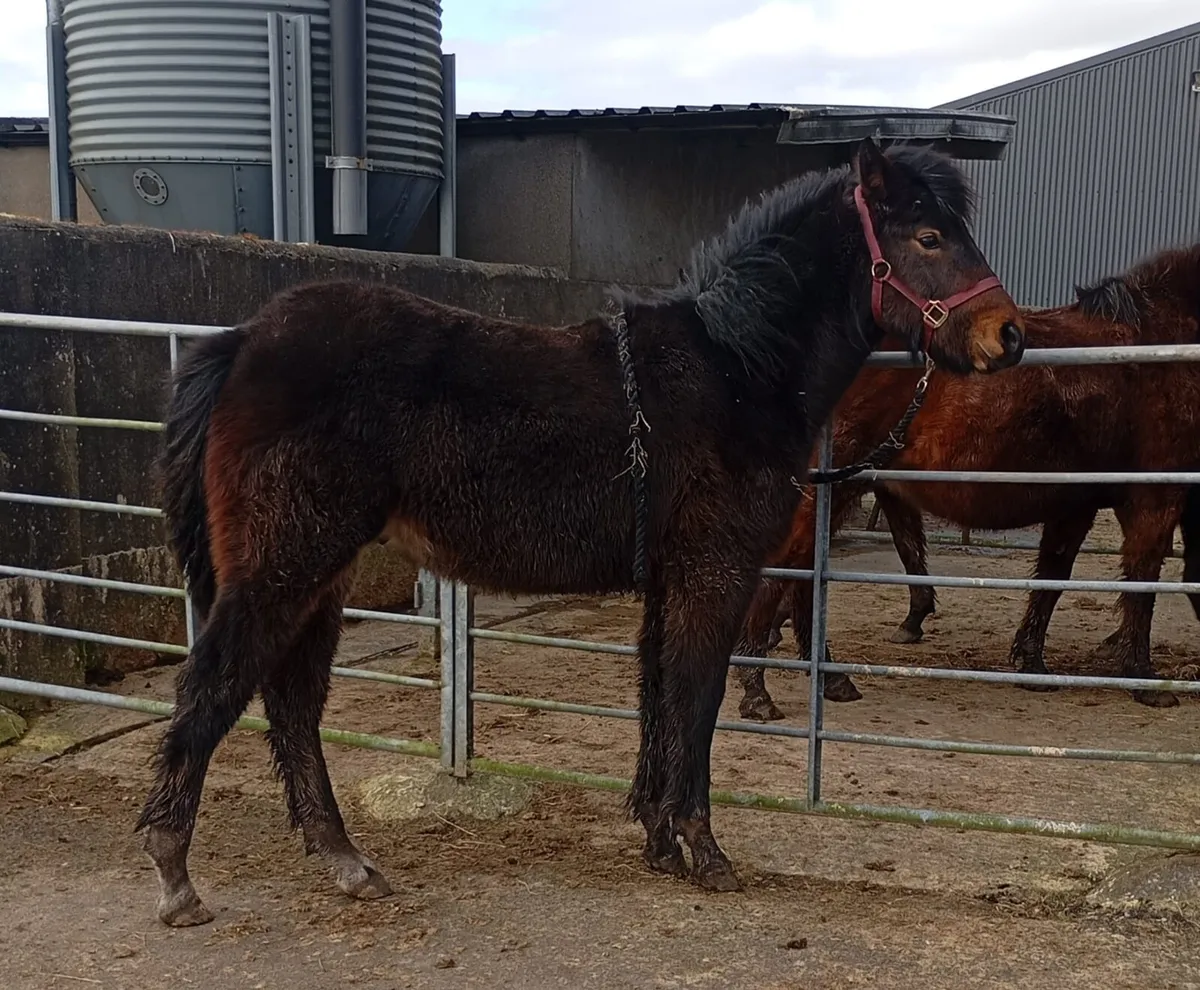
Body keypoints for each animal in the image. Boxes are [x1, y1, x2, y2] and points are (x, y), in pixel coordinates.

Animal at [138, 137, 1023, 927]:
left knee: (293, 701)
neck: (733, 370)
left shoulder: (669, 580)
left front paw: (659, 841)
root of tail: (246, 340)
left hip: (320, 574)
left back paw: (347, 862)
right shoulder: (715, 573)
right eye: (929, 236)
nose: (1007, 336)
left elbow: (659, 697)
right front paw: (705, 850)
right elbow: (697, 698)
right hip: (286, 562)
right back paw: (176, 875)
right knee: (216, 684)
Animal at [733, 242, 1200, 721]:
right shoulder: (1155, 498)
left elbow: (1052, 577)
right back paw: (758, 689)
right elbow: (1142, 583)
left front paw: (1032, 663)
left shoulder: (1077, 502)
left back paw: (830, 678)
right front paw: (1144, 679)